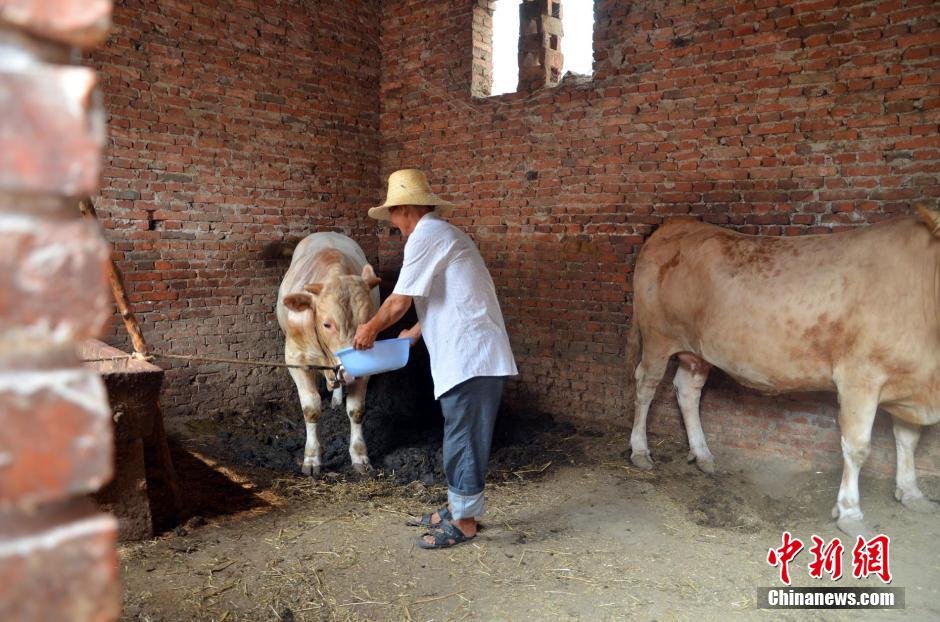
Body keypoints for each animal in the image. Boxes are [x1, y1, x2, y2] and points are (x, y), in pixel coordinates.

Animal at [276, 234, 382, 478]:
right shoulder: (295, 360)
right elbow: (311, 408)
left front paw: (359, 455)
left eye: (369, 319)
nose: (351, 370)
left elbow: (356, 410)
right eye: (327, 324)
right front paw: (312, 458)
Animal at [632, 208, 940, 536]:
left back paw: (703, 455)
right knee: (645, 386)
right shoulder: (860, 377)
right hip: (657, 338)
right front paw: (849, 513)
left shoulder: (911, 381)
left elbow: (908, 440)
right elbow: (857, 447)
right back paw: (639, 451)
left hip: (697, 352)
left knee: (688, 391)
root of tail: (677, 224)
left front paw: (912, 493)